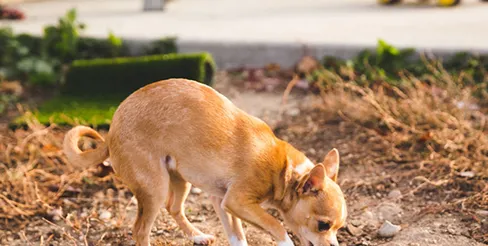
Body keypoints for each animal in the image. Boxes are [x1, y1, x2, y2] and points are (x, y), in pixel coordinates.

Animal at [63, 79, 346, 246]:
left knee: (173, 207)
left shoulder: (222, 201)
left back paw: (196, 236)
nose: (334, 245)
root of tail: (111, 130)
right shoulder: (237, 201)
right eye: (323, 225)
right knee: (140, 230)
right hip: (154, 188)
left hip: (179, 180)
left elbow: (237, 235)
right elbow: (276, 224)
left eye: (339, 228)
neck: (283, 169)